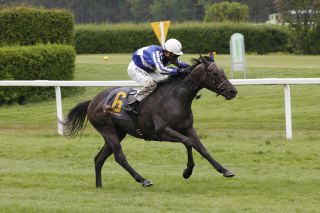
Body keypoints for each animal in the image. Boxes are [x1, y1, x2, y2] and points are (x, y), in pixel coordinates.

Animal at [63, 55, 238, 187]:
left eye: (222, 71)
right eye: (214, 73)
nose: (233, 91)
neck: (176, 98)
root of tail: (92, 100)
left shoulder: (188, 128)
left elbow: (203, 149)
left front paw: (225, 170)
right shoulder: (162, 131)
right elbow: (188, 143)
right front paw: (187, 172)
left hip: (118, 133)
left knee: (99, 158)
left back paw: (99, 186)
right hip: (108, 130)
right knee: (119, 157)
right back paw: (143, 180)